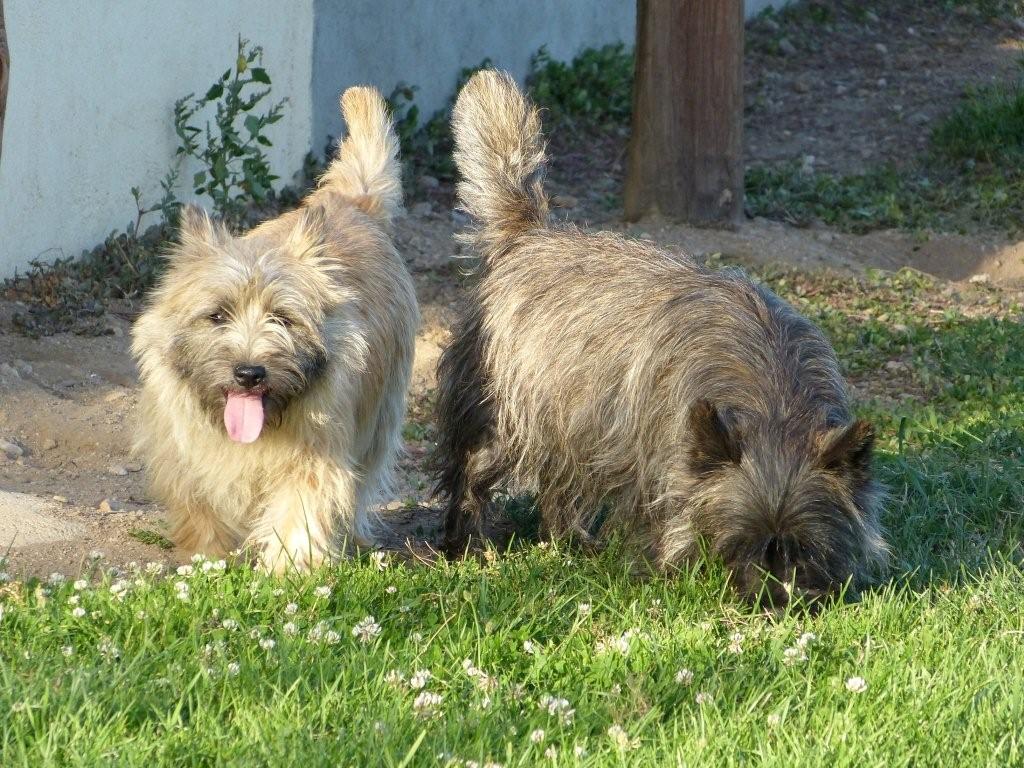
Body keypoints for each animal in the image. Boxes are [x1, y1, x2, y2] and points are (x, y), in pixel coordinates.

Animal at [134, 88, 417, 573]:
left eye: (284, 318)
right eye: (217, 316)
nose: (250, 373)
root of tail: (353, 203)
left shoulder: (316, 455)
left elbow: (300, 510)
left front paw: (289, 570)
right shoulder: (184, 451)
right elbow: (201, 506)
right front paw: (208, 558)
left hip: (378, 416)